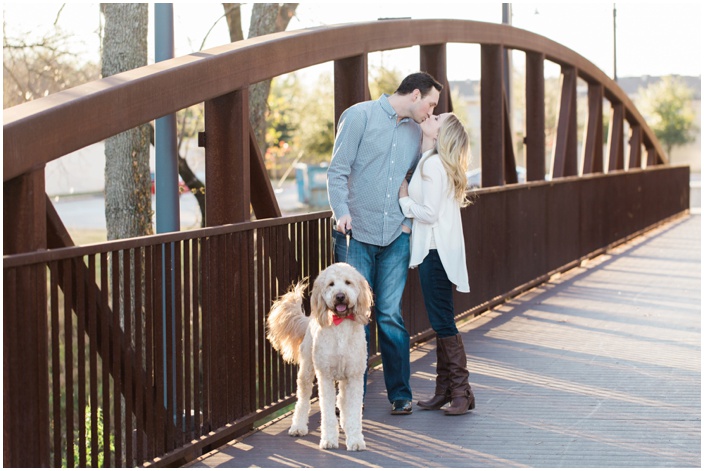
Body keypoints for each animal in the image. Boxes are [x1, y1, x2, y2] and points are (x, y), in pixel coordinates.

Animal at [266, 264, 374, 452]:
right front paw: (329, 440)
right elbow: (327, 413)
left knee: (342, 400)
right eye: (331, 284)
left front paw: (355, 439)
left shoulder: (354, 375)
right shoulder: (325, 376)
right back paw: (298, 427)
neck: (340, 324)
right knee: (302, 399)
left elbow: (353, 411)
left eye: (348, 282)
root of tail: (311, 318)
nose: (340, 296)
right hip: (307, 370)